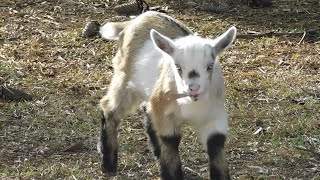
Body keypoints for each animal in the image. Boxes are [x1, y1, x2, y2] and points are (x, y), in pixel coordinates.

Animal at [96, 11, 236, 180]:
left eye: (210, 66)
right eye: (177, 66)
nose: (193, 88)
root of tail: (136, 19)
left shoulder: (215, 116)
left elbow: (215, 143)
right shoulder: (165, 114)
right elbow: (170, 141)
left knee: (148, 112)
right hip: (125, 78)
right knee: (110, 108)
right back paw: (108, 163)